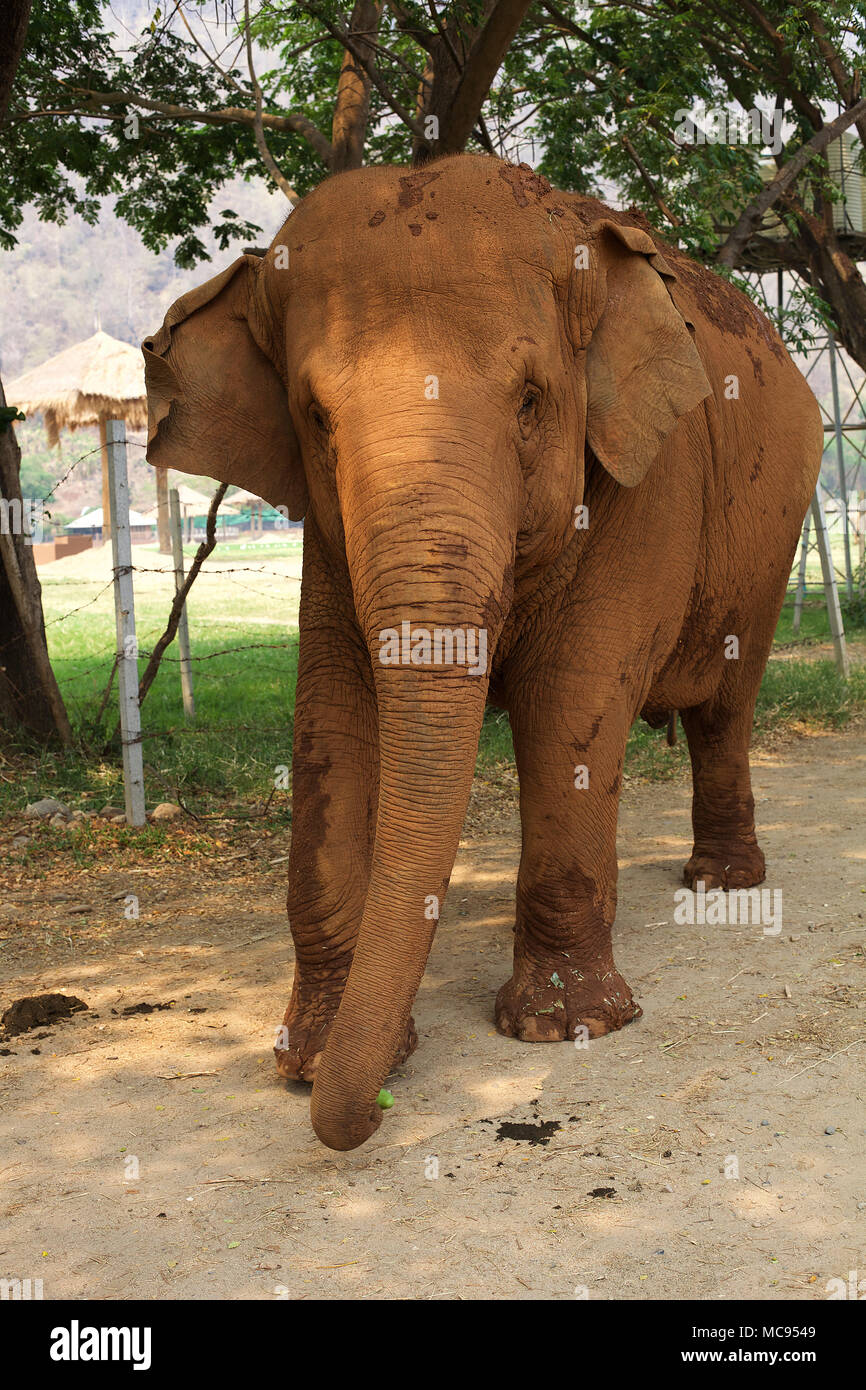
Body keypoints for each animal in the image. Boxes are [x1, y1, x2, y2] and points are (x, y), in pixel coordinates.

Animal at [140, 152, 817, 1150]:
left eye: (532, 401)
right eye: (314, 418)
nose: (365, 1117)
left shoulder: (648, 479)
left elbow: (570, 703)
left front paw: (565, 1027)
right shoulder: (328, 539)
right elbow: (331, 719)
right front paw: (310, 1062)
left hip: (771, 539)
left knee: (724, 708)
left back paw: (720, 882)